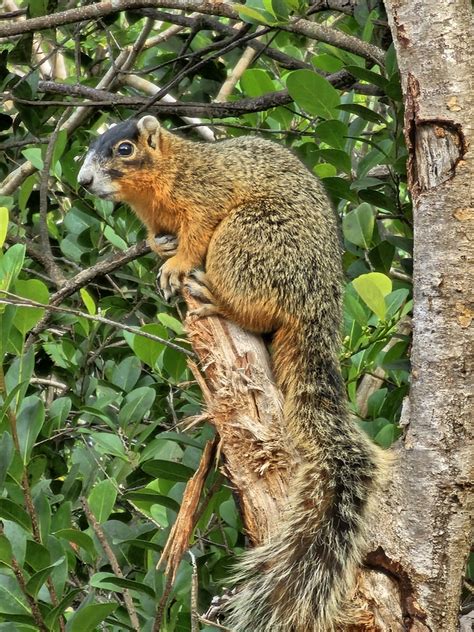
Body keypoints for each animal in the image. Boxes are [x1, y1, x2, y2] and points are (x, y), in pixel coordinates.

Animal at [78, 116, 382, 628]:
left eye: (123, 149)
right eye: (93, 146)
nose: (83, 181)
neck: (167, 175)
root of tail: (318, 305)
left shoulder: (206, 195)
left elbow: (197, 230)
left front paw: (176, 264)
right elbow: (157, 236)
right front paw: (158, 245)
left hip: (247, 239)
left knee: (253, 305)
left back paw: (214, 299)